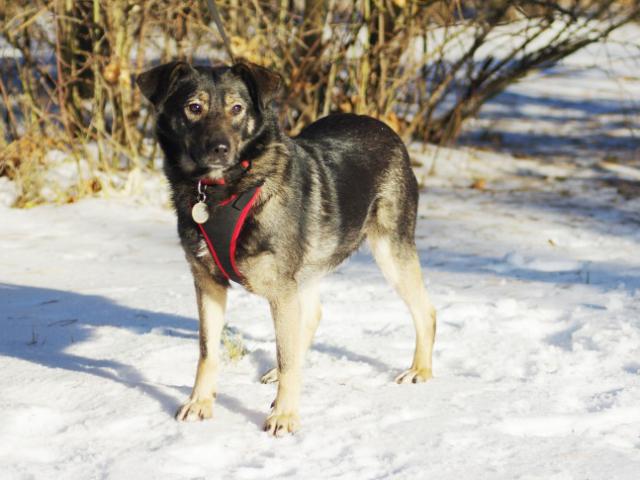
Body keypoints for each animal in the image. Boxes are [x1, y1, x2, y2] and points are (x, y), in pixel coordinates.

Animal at [134, 60, 436, 436]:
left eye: (237, 108)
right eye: (194, 107)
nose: (219, 148)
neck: (224, 190)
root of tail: (384, 128)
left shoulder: (279, 289)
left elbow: (287, 356)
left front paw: (285, 416)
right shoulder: (208, 283)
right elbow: (208, 351)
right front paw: (200, 402)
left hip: (389, 249)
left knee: (425, 311)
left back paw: (420, 370)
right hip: (308, 267)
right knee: (310, 318)